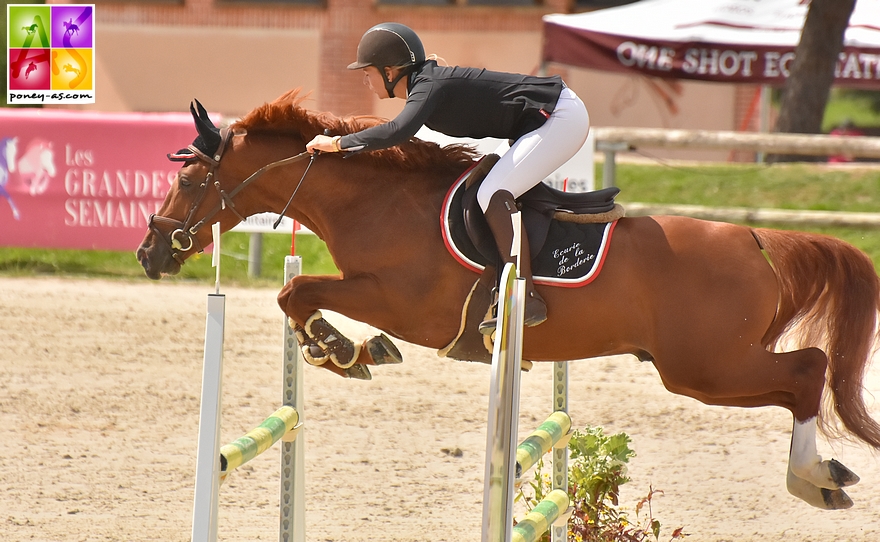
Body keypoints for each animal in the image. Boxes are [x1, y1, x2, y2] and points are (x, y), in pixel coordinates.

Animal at [138, 90, 880, 516]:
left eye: (190, 177)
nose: (149, 253)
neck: (378, 201)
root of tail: (755, 236)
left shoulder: (407, 304)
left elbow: (298, 291)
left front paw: (341, 347)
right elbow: (299, 295)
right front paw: (346, 349)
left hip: (706, 368)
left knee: (808, 372)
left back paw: (813, 478)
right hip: (705, 370)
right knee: (800, 378)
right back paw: (825, 475)